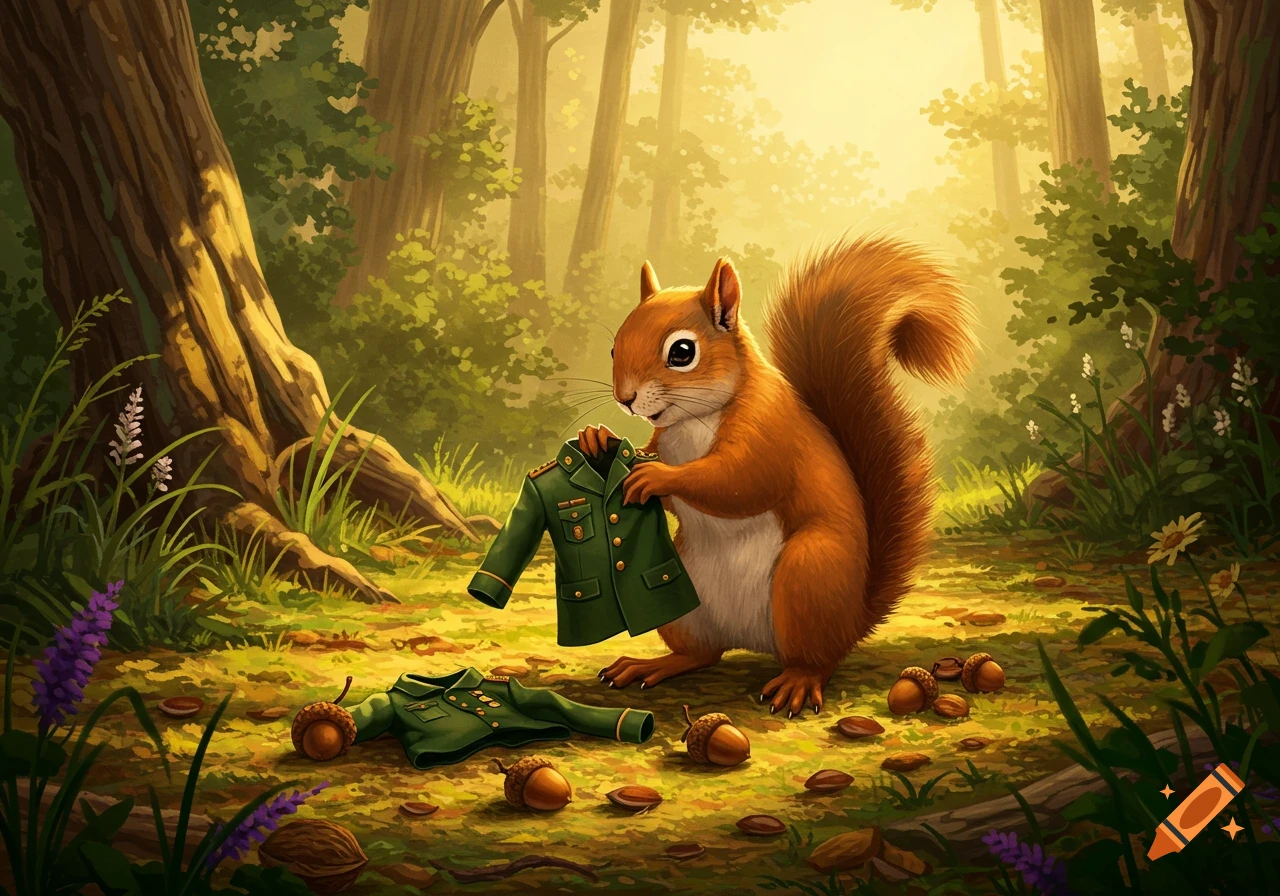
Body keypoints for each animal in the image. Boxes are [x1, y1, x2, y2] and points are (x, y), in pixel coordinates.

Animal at [577, 235, 976, 717]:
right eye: (615, 347)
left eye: (682, 352)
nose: (625, 398)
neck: (692, 421)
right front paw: (597, 437)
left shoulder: (770, 434)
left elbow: (737, 482)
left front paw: (655, 477)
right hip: (685, 599)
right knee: (702, 653)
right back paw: (652, 665)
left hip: (807, 575)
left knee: (816, 659)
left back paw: (798, 683)